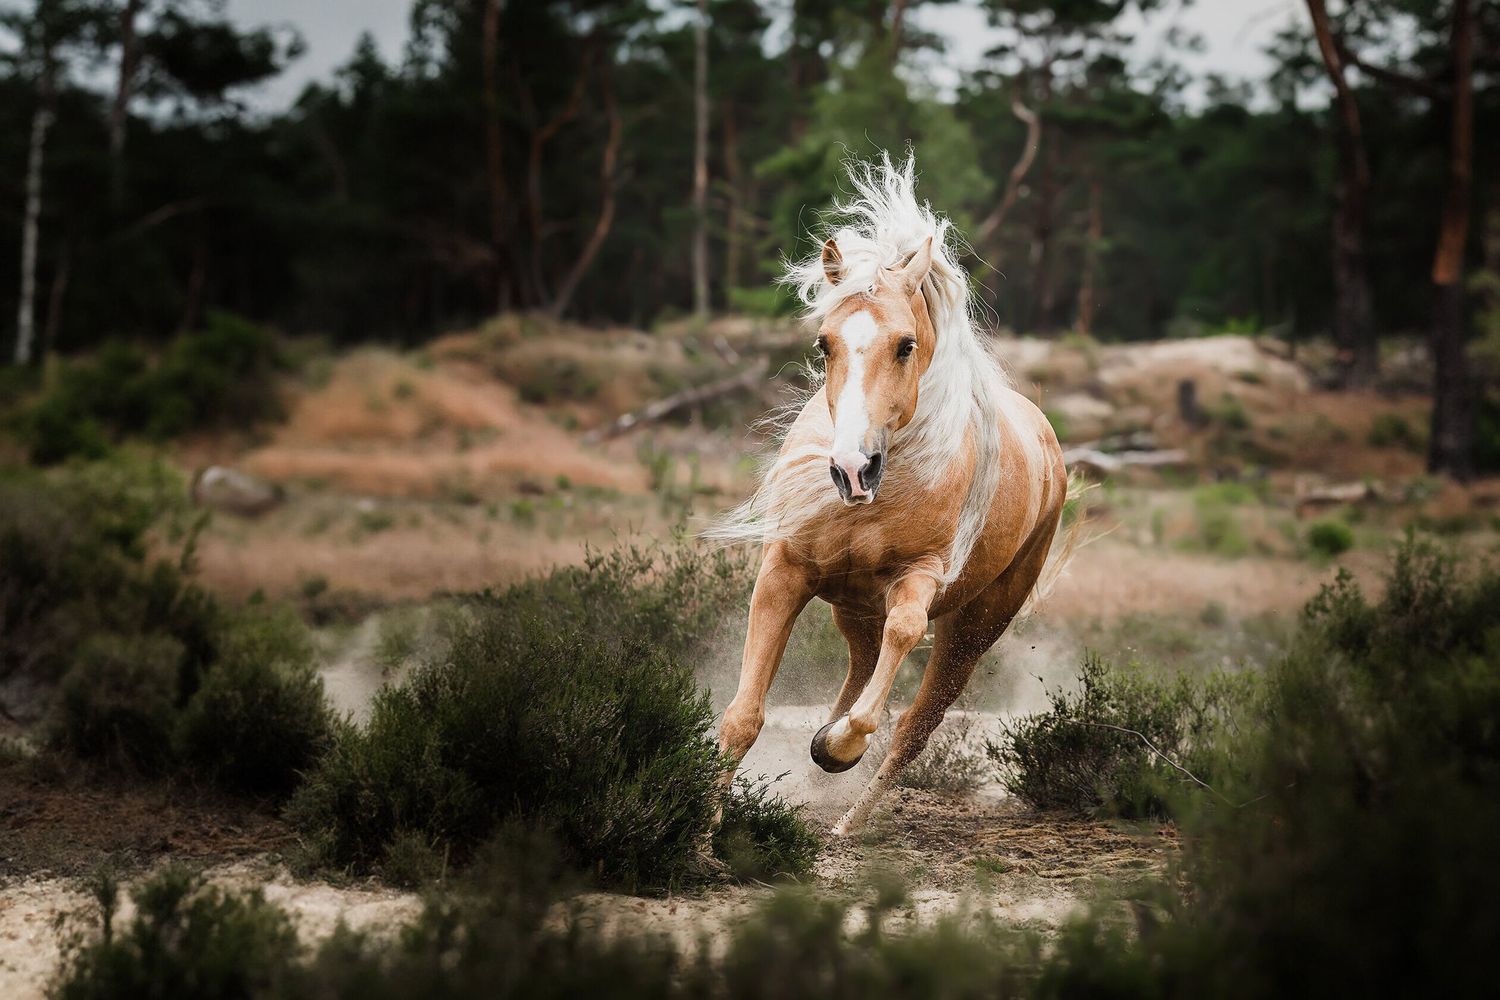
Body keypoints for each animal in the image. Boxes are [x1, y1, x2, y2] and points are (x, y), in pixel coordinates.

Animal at [709, 154, 1071, 836]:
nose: (853, 470)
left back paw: (847, 817)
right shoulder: (784, 571)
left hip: (974, 628)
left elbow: (898, 652)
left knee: (913, 726)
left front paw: (838, 747)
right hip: (851, 606)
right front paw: (702, 824)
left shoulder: (919, 580)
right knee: (860, 667)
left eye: (905, 344)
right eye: (824, 343)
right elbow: (743, 715)